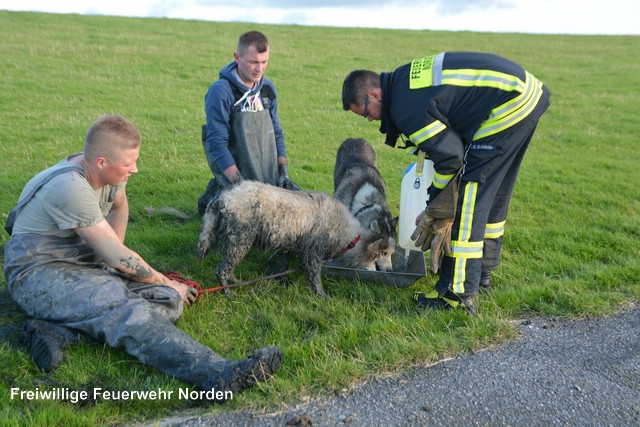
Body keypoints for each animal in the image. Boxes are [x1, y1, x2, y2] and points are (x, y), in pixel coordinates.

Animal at [195, 181, 384, 298]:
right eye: (376, 257)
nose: (379, 272)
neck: (347, 235)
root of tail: (222, 198)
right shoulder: (313, 254)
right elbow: (315, 277)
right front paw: (321, 295)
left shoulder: (287, 247)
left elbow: (282, 267)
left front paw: (283, 281)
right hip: (240, 241)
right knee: (222, 270)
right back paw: (227, 291)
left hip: (239, 244)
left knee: (229, 267)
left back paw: (235, 282)